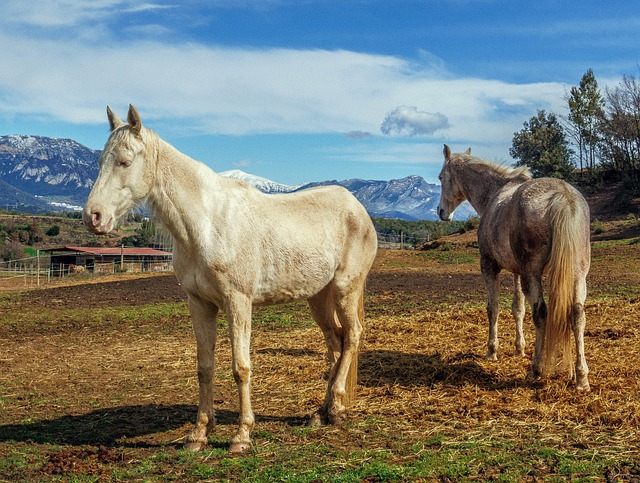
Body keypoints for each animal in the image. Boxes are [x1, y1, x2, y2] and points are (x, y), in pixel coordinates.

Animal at [82, 105, 378, 454]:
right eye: (100, 162)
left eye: (125, 161)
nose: (93, 217)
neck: (207, 224)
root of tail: (358, 208)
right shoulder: (199, 304)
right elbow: (205, 367)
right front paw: (198, 434)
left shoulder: (238, 301)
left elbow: (240, 367)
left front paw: (242, 436)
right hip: (318, 297)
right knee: (336, 342)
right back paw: (325, 412)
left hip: (346, 288)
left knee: (352, 337)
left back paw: (336, 409)